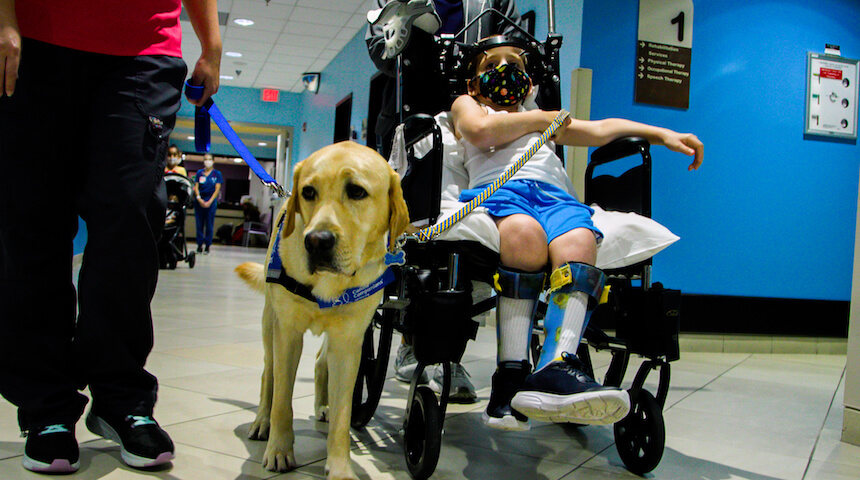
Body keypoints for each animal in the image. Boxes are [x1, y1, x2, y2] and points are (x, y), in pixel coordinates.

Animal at [235, 142, 410, 480]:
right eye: (308, 192)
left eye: (356, 191)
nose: (316, 241)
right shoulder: (288, 334)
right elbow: (282, 401)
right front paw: (279, 450)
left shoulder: (349, 342)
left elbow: (344, 415)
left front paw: (340, 467)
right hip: (270, 323)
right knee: (268, 374)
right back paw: (262, 421)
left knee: (319, 363)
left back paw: (322, 407)